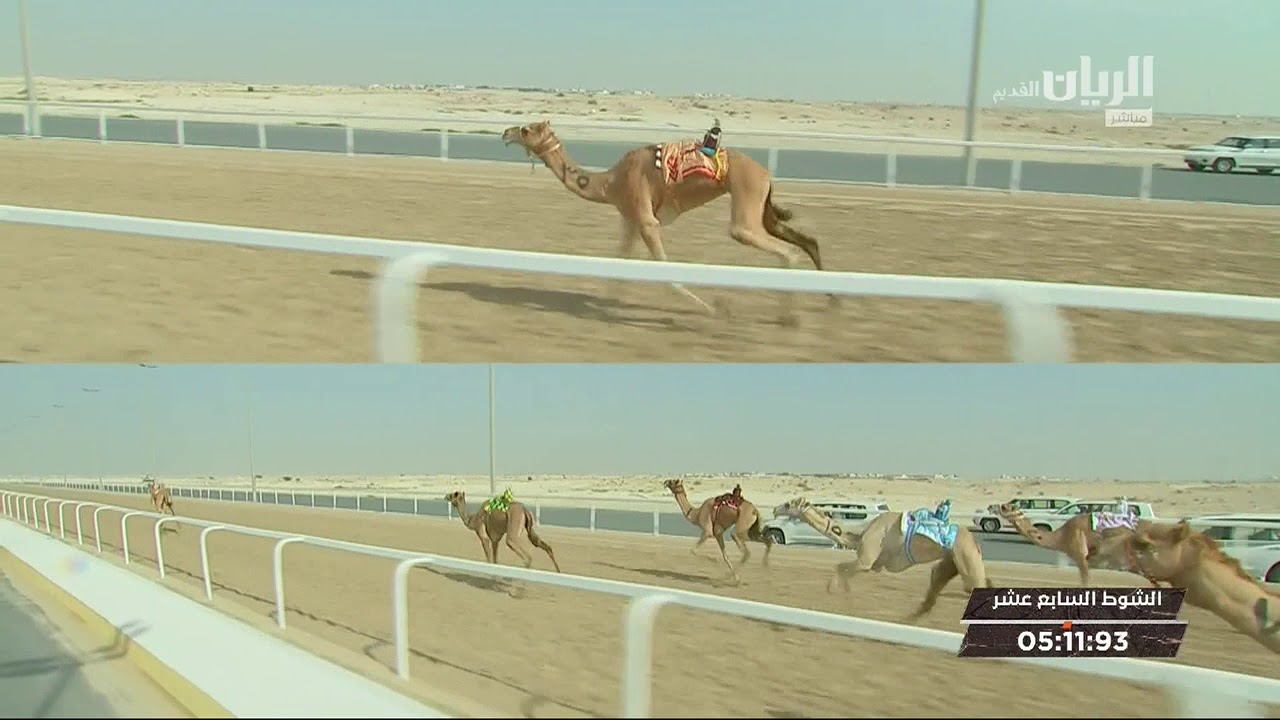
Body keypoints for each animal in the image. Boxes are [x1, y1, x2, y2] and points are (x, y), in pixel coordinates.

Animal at [502, 119, 836, 326]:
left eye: (526, 129)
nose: (505, 132)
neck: (610, 183)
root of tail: (765, 174)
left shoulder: (646, 219)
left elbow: (666, 273)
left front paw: (716, 308)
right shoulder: (630, 220)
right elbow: (618, 264)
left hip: (746, 202)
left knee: (782, 249)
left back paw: (791, 317)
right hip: (761, 208)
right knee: (805, 240)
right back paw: (832, 300)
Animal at [777, 497, 992, 620]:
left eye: (789, 504)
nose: (775, 509)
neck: (859, 535)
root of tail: (975, 541)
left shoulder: (866, 560)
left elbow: (840, 568)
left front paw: (835, 592)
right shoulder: (873, 565)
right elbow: (843, 570)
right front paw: (843, 595)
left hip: (965, 556)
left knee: (977, 586)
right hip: (952, 560)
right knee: (937, 580)